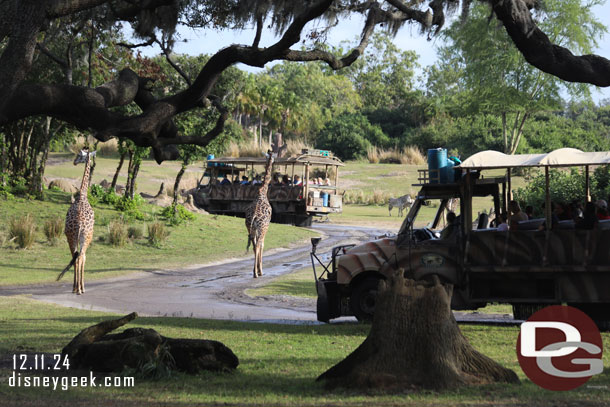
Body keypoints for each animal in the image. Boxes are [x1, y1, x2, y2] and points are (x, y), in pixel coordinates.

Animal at [57, 148, 95, 294]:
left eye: (80, 155)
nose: (74, 162)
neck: (82, 195)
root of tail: (79, 225)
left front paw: (77, 286)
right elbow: (83, 258)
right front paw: (81, 287)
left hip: (72, 237)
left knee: (75, 257)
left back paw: (75, 287)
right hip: (84, 237)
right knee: (81, 257)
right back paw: (80, 288)